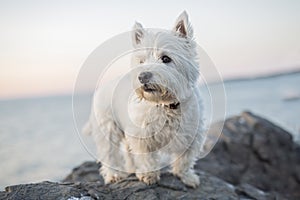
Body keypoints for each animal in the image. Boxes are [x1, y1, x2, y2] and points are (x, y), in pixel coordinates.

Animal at [84, 11, 206, 188]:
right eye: (141, 61)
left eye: (166, 58)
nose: (142, 76)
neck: (165, 104)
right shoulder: (141, 136)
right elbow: (146, 157)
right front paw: (149, 175)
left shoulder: (193, 135)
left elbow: (185, 159)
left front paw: (187, 177)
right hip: (107, 127)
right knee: (109, 153)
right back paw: (114, 175)